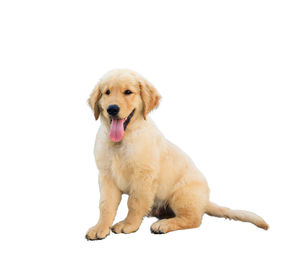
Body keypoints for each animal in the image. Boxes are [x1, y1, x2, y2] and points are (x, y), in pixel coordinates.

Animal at [85, 69, 270, 240]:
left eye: (128, 92)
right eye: (107, 92)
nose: (112, 109)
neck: (121, 141)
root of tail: (205, 201)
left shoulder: (143, 177)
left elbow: (135, 202)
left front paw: (129, 225)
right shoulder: (106, 176)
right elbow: (106, 205)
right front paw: (100, 227)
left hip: (182, 194)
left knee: (194, 219)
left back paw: (163, 225)